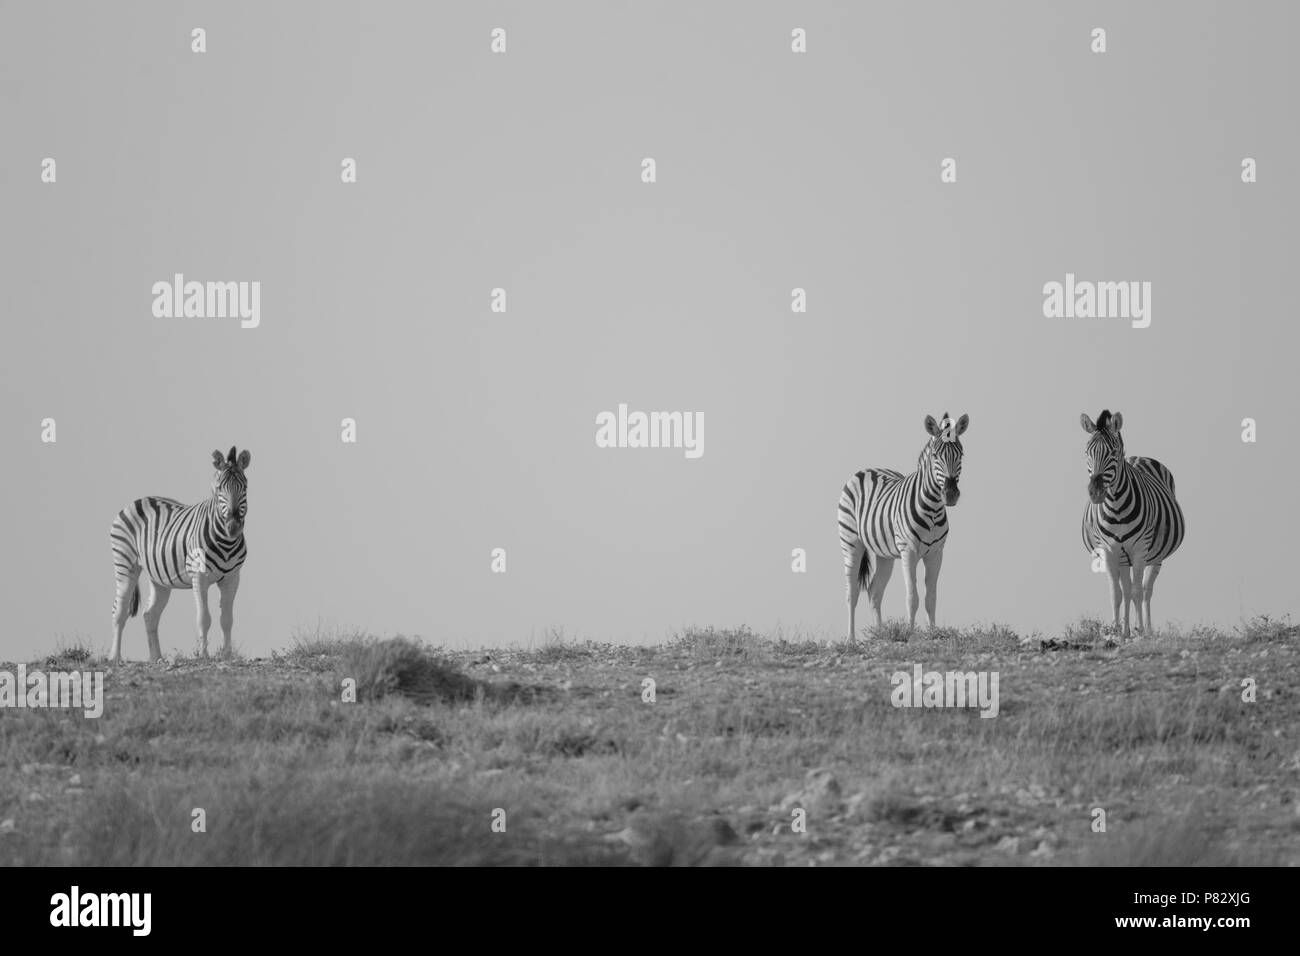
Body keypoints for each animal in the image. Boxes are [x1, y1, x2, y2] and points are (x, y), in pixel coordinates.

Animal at [109, 447, 251, 663]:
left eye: (245, 487)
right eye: (220, 488)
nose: (233, 527)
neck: (226, 541)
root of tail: (139, 500)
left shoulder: (232, 578)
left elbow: (226, 619)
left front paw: (226, 656)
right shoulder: (199, 576)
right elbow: (204, 618)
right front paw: (204, 655)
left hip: (158, 577)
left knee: (150, 615)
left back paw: (156, 658)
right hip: (125, 564)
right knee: (120, 610)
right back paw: (114, 657)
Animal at [838, 413, 969, 640]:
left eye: (960, 454)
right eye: (935, 455)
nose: (950, 495)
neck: (933, 509)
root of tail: (866, 470)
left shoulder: (936, 553)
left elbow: (931, 597)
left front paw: (933, 634)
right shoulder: (909, 552)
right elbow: (912, 597)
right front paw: (910, 635)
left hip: (884, 554)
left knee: (874, 592)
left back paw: (880, 635)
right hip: (851, 543)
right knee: (852, 593)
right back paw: (851, 640)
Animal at [1080, 411, 1184, 638]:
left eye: (1113, 453)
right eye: (1087, 452)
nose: (1096, 493)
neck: (1117, 507)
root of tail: (1137, 457)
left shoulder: (1139, 549)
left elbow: (1137, 592)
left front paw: (1141, 632)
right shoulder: (1109, 550)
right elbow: (1117, 593)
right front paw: (1116, 631)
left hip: (1155, 555)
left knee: (1145, 590)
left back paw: (1147, 630)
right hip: (1122, 556)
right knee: (1126, 590)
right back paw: (1127, 630)